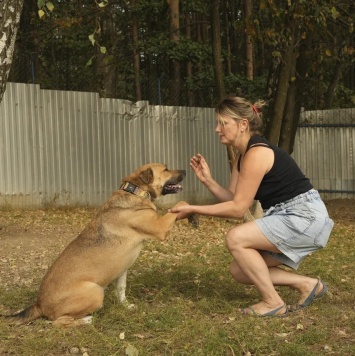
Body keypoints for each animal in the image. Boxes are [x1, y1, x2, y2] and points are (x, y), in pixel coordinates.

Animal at [6, 163, 189, 326]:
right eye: (166, 169)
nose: (185, 171)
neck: (136, 191)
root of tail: (39, 305)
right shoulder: (160, 227)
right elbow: (179, 205)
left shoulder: (122, 269)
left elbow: (121, 290)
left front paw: (126, 306)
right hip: (95, 291)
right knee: (59, 322)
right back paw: (87, 320)